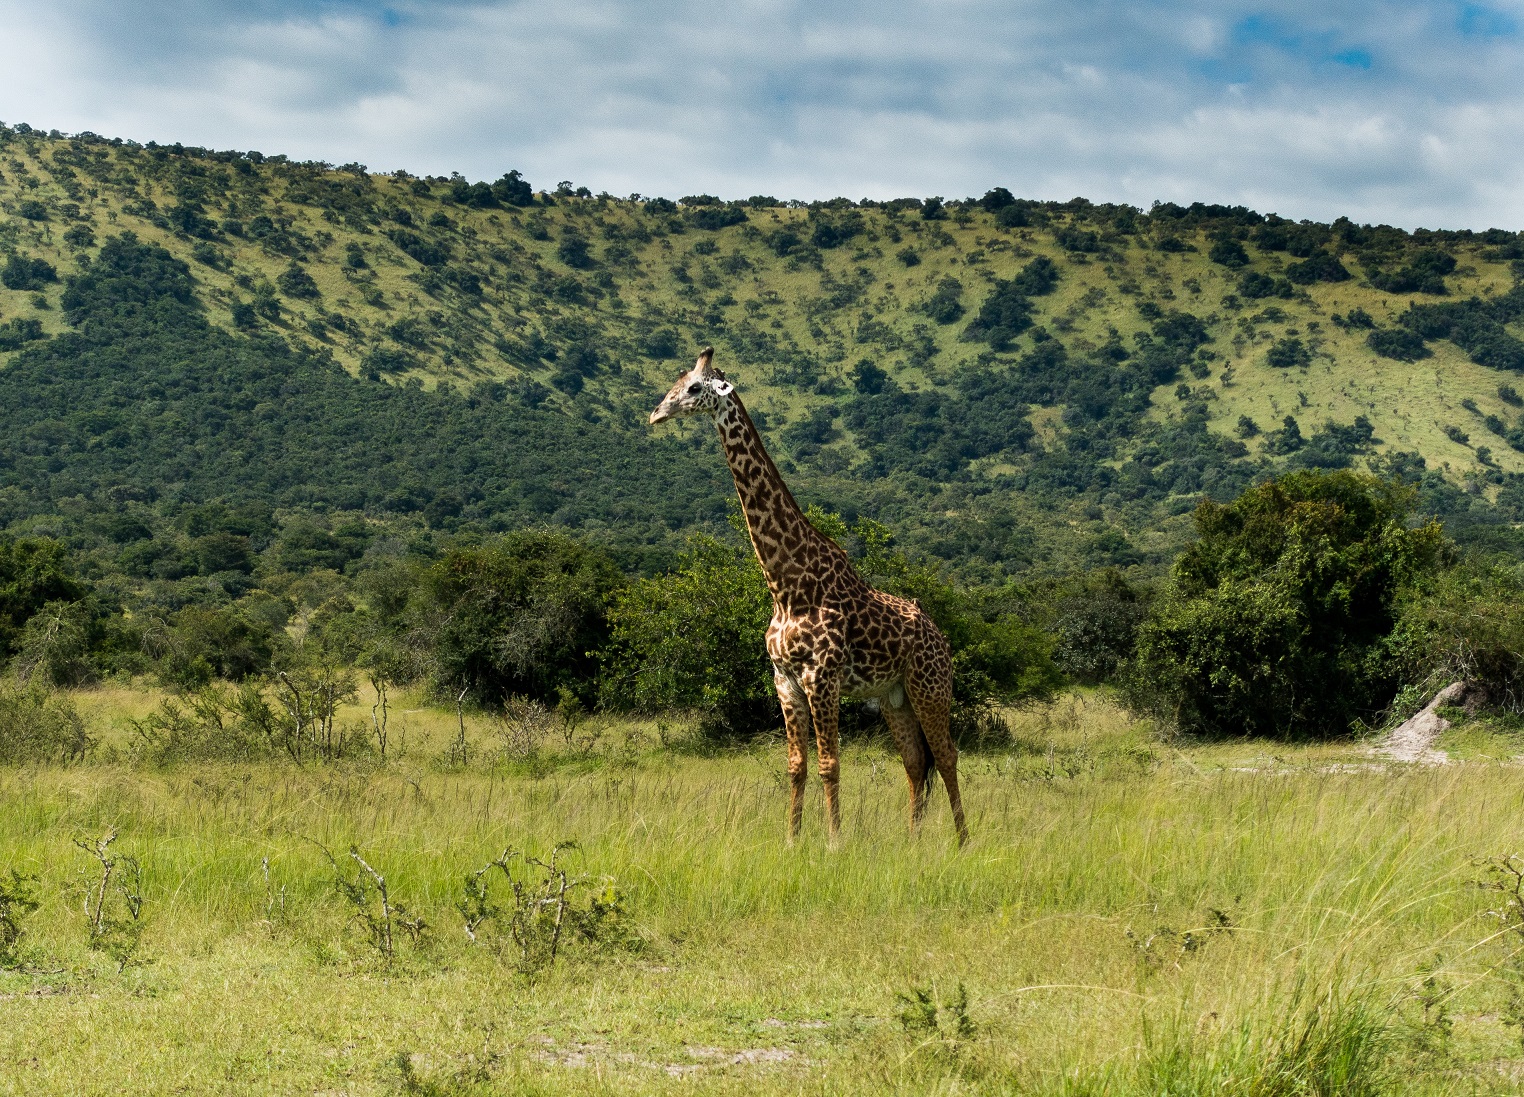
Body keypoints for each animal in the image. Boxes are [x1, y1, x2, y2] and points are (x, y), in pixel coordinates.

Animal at [652, 347, 963, 847]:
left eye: (695, 387)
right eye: (674, 383)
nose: (656, 414)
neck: (786, 586)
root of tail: (940, 635)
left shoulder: (822, 677)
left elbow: (828, 765)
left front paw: (835, 843)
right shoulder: (785, 680)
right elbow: (796, 766)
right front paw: (792, 841)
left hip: (930, 685)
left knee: (948, 755)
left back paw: (962, 841)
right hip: (894, 695)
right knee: (916, 763)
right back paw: (914, 841)